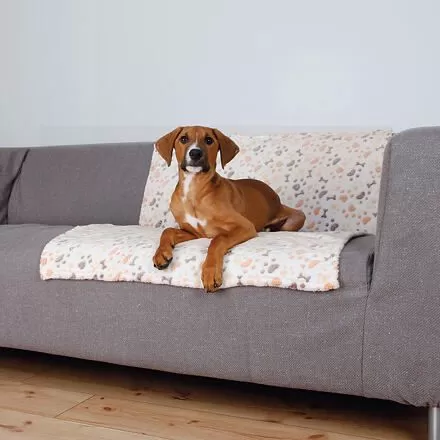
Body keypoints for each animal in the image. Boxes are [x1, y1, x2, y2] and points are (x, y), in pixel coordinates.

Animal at [152, 126, 306, 292]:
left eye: (209, 140)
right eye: (184, 139)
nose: (195, 153)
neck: (194, 190)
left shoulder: (245, 226)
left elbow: (219, 239)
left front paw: (211, 271)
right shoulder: (194, 233)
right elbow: (168, 230)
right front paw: (161, 253)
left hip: (298, 217)